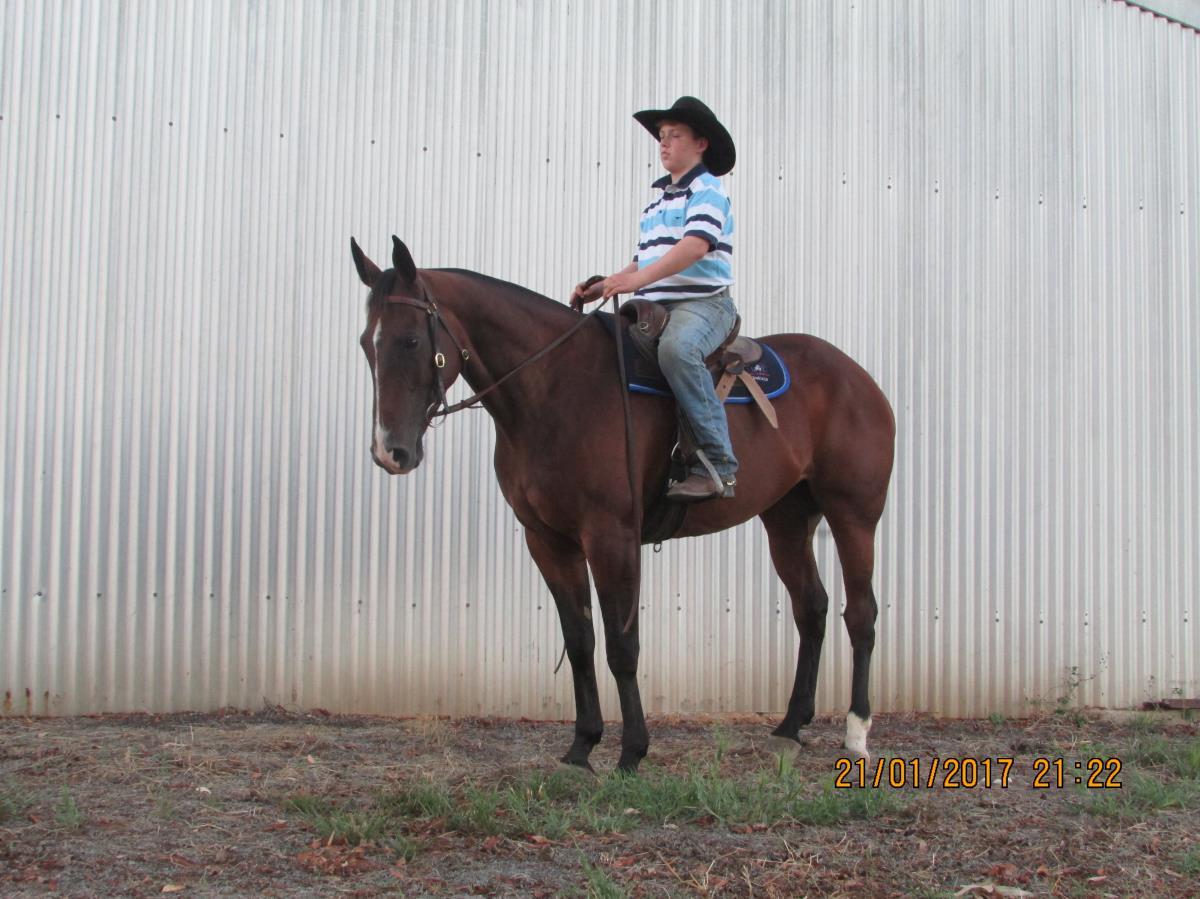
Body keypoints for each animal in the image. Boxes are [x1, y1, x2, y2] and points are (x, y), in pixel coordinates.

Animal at [352, 236, 895, 773]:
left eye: (411, 341)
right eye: (364, 344)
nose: (389, 453)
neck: (556, 389)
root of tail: (857, 377)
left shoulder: (611, 536)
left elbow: (621, 645)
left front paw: (632, 751)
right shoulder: (548, 541)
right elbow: (580, 642)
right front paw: (581, 747)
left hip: (854, 515)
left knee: (860, 613)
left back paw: (856, 732)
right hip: (786, 520)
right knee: (812, 608)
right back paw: (789, 727)